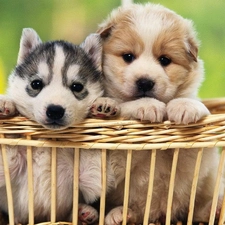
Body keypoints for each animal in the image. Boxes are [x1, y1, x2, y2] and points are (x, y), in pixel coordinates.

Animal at [0, 27, 116, 223]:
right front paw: (5, 103)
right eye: (36, 84)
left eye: (77, 87)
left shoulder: (88, 177)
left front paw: (104, 104)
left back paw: (84, 213)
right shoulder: (9, 166)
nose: (55, 110)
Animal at [96, 3, 225, 225]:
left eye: (165, 60)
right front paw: (142, 105)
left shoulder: (191, 160)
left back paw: (214, 208)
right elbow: (125, 104)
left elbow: (192, 102)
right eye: (128, 57)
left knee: (197, 208)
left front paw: (184, 107)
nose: (145, 82)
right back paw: (119, 214)